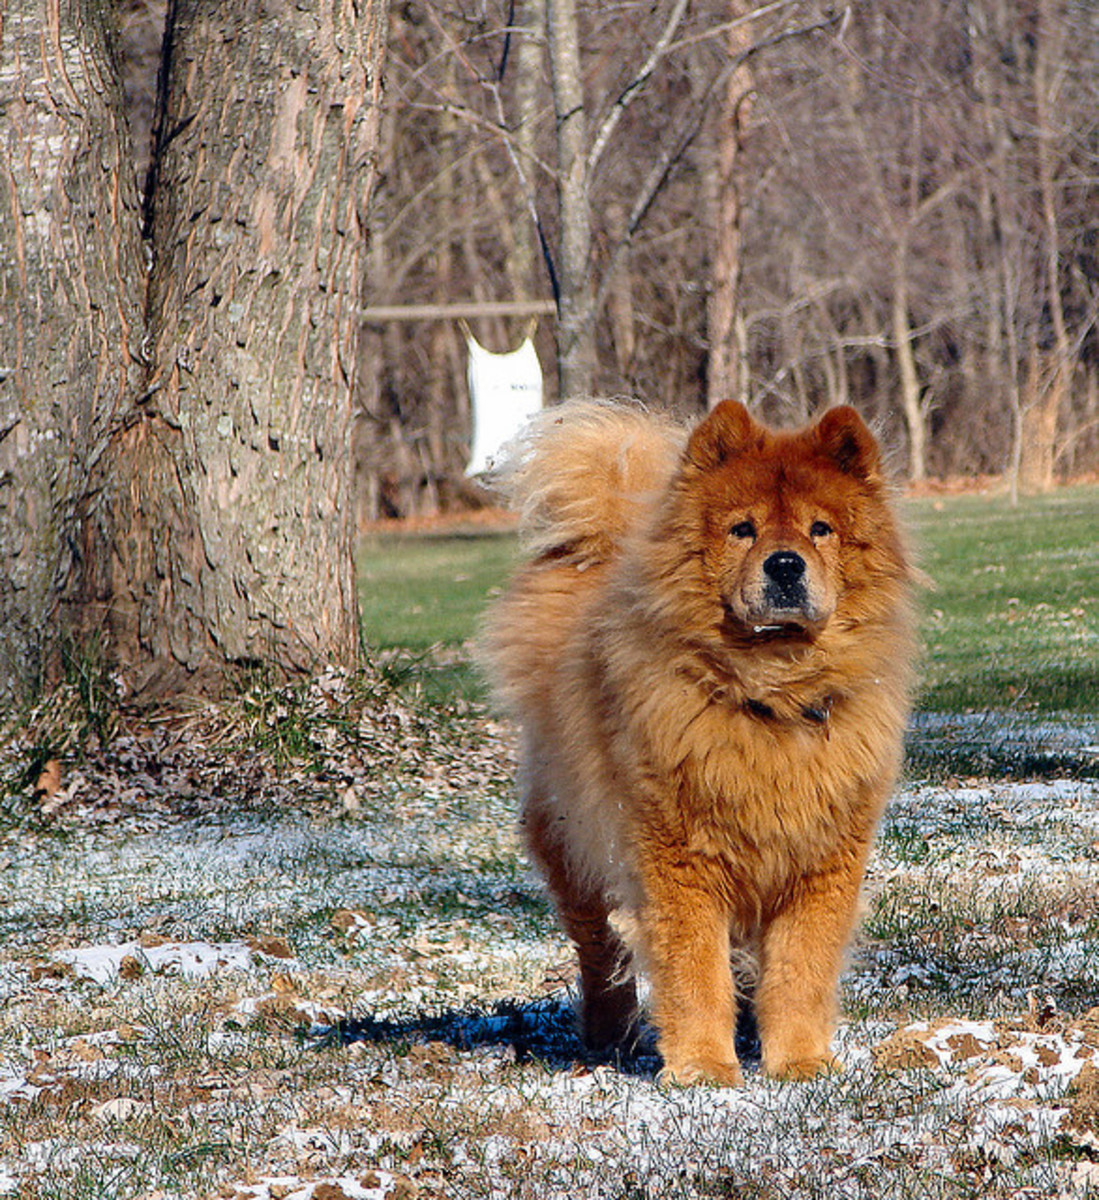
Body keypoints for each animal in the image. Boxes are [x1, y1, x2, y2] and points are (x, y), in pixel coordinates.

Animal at [477, 403, 916, 1089]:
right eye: (743, 530)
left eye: (821, 530)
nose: (784, 565)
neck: (770, 697)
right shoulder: (679, 861)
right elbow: (692, 969)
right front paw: (704, 1068)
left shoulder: (821, 864)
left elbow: (800, 970)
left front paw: (798, 1062)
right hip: (573, 841)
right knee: (599, 950)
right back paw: (609, 1036)